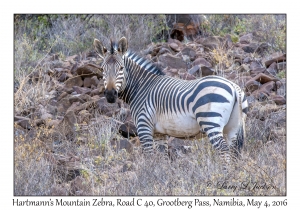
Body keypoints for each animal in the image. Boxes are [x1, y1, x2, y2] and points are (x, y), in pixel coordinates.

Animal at [94, 36, 248, 164]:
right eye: (102, 69)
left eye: (121, 68)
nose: (110, 94)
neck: (141, 87)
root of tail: (235, 88)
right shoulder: (160, 134)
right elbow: (162, 160)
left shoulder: (144, 128)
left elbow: (150, 158)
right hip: (233, 127)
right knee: (232, 151)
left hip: (211, 122)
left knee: (223, 150)